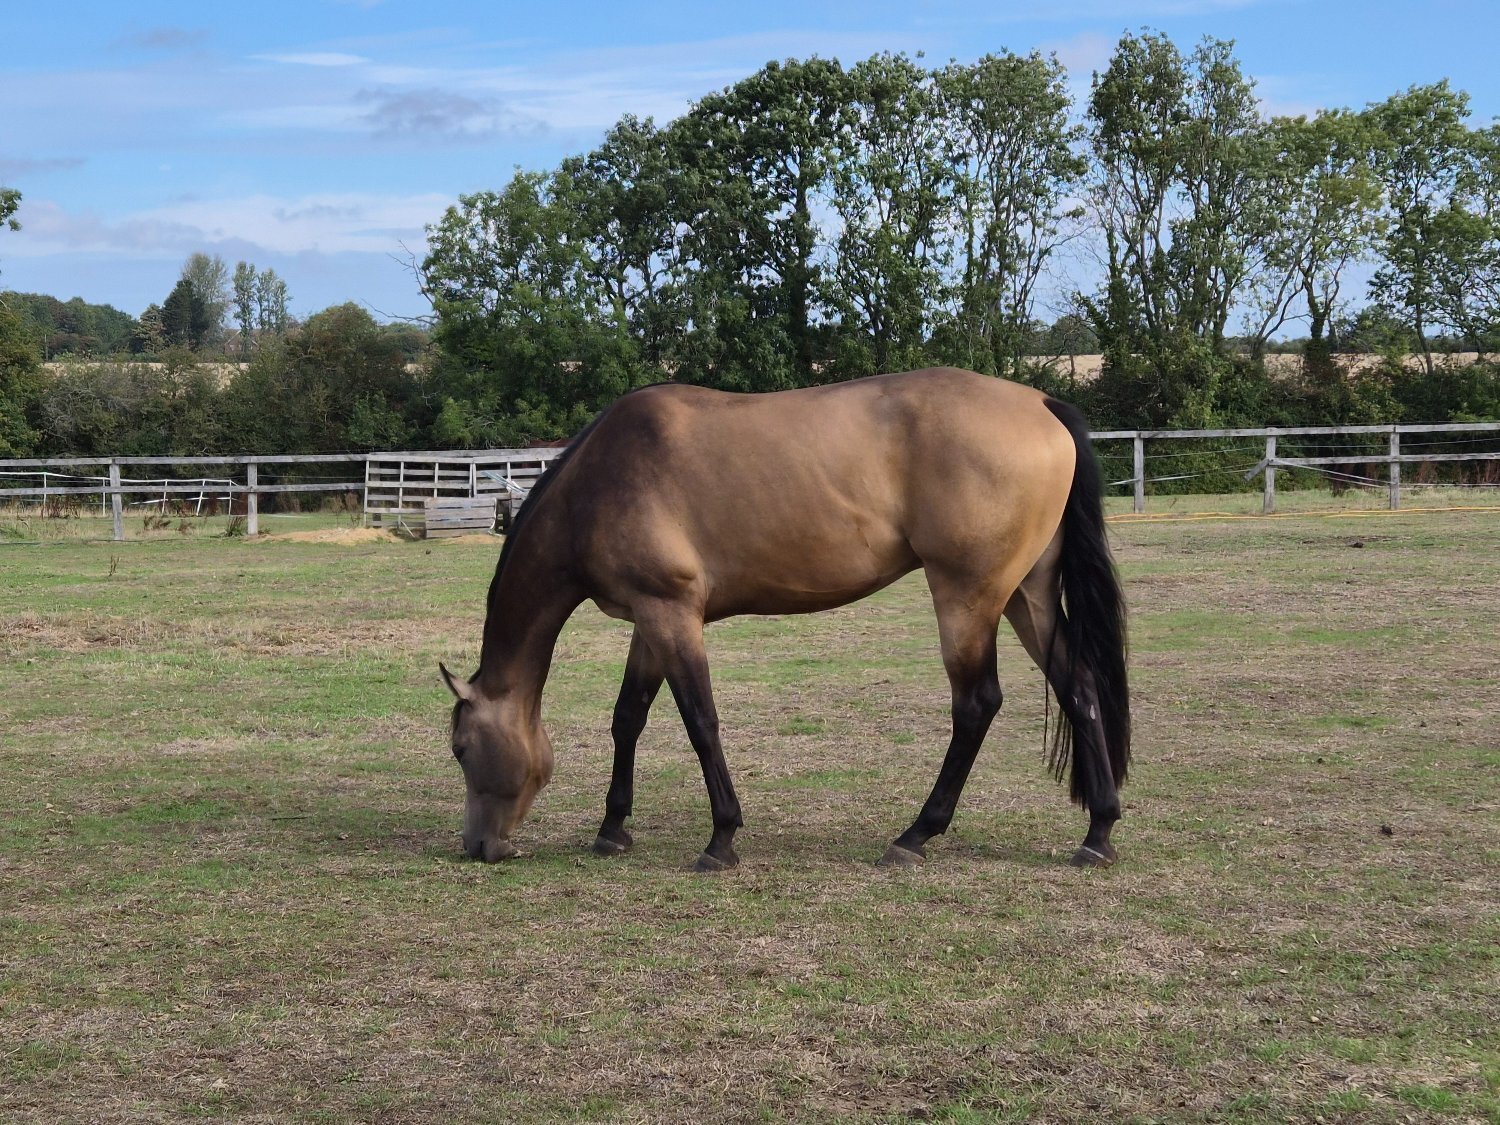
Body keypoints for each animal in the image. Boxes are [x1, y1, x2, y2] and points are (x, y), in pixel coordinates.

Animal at [440, 367, 1130, 871]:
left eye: (460, 749)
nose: (479, 847)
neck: (601, 482)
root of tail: (1042, 404)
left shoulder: (672, 613)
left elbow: (700, 722)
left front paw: (721, 838)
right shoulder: (650, 618)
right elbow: (628, 716)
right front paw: (613, 827)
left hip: (969, 597)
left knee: (977, 704)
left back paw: (915, 834)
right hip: (1026, 595)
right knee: (1078, 686)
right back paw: (1098, 831)